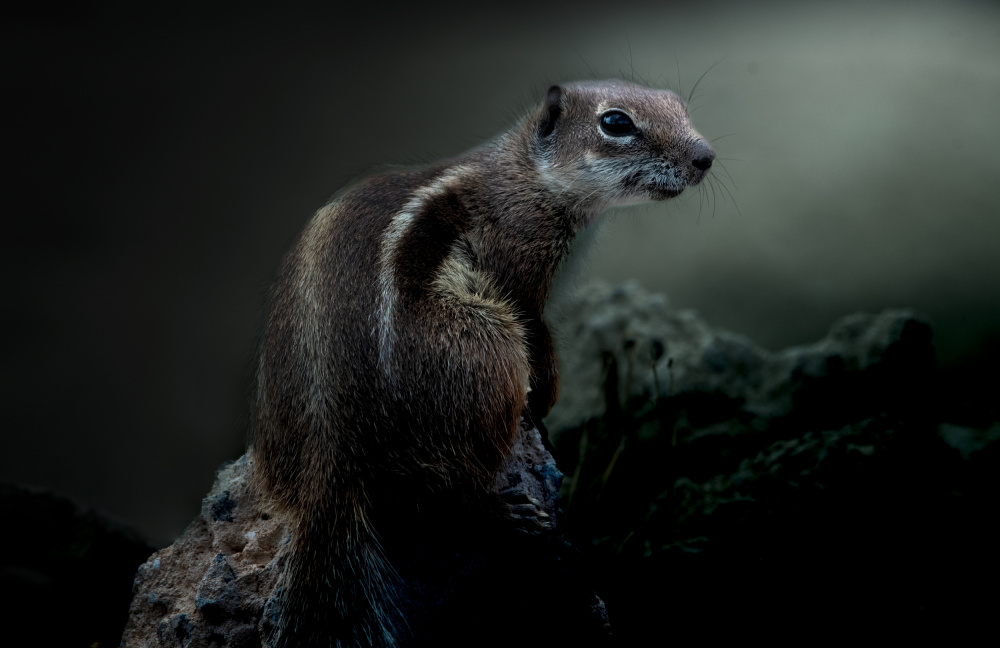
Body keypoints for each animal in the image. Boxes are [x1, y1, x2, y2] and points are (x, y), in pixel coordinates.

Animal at [250, 79, 715, 647]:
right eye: (616, 123)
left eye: (678, 103)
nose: (704, 156)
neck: (527, 173)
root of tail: (331, 456)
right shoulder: (518, 267)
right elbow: (536, 333)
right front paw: (547, 395)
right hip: (484, 349)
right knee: (438, 495)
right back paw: (504, 510)